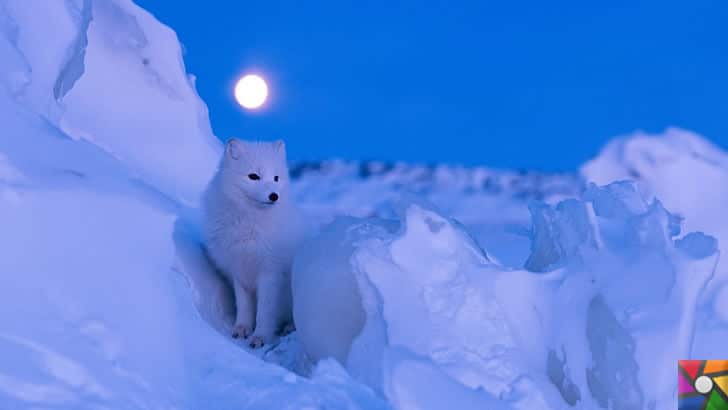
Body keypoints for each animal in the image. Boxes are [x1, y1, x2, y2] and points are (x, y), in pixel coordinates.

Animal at [200, 139, 306, 348]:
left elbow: (265, 310)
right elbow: (243, 305)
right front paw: (242, 328)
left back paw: (289, 327)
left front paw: (260, 336)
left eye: (276, 178)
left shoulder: (270, 272)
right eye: (254, 176)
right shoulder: (239, 271)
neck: (249, 225)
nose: (274, 196)